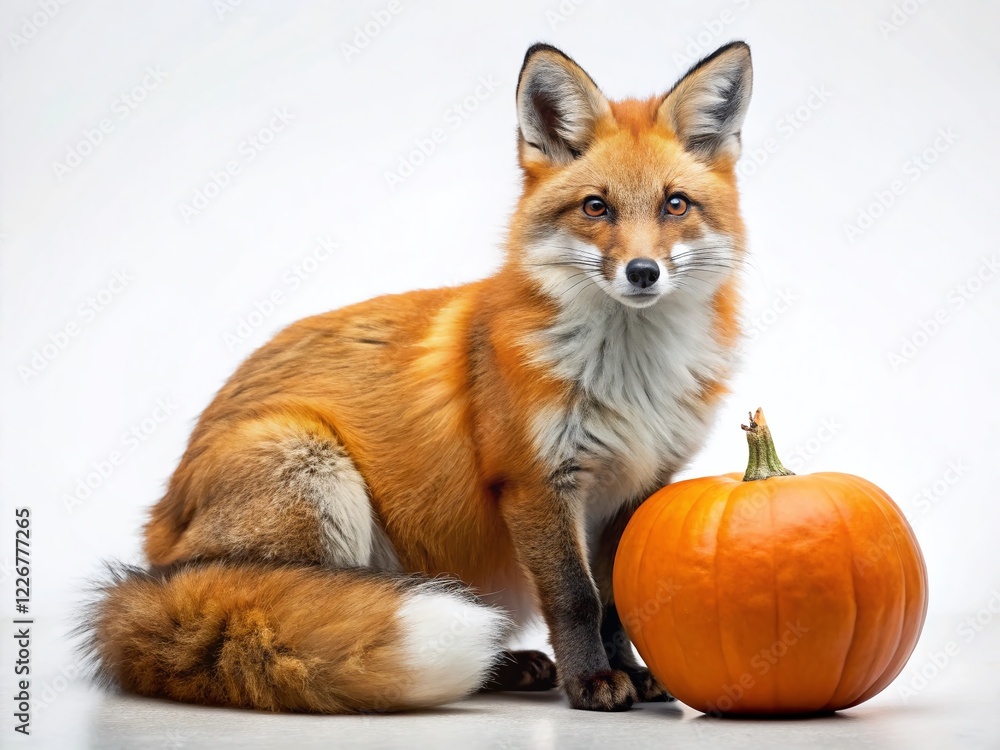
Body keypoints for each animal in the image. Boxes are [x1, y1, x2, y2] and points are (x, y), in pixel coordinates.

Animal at [83, 40, 753, 713]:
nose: (642, 271)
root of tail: (156, 548)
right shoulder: (535, 481)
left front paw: (630, 672)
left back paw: (506, 665)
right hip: (311, 469)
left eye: (674, 204)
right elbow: (577, 597)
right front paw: (591, 681)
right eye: (597, 207)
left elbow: (617, 602)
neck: (630, 379)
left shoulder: (641, 485)